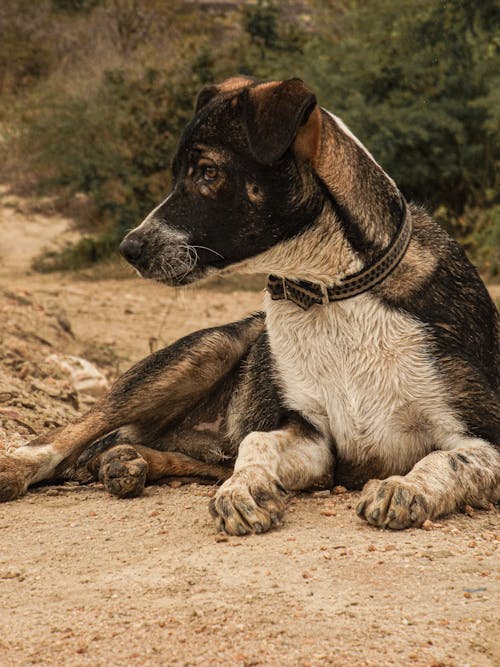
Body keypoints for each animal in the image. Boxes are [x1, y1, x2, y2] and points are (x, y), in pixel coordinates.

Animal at [0, 78, 500, 536]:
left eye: (206, 172)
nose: (129, 249)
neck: (328, 291)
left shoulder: (482, 432)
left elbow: (447, 460)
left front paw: (406, 487)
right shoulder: (312, 436)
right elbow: (257, 443)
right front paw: (245, 489)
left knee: (171, 452)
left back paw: (126, 461)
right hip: (201, 352)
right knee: (72, 431)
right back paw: (24, 467)